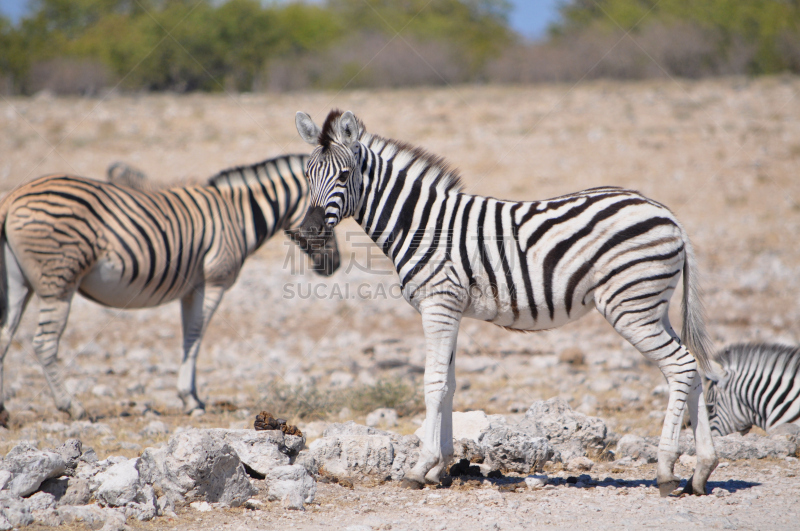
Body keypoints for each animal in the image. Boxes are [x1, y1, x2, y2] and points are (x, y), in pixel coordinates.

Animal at [0, 155, 340, 428]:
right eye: (324, 220)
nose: (334, 265)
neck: (241, 214)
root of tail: (13, 197)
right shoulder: (213, 282)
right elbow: (196, 337)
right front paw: (191, 401)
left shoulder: (190, 289)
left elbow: (188, 337)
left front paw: (192, 396)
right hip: (58, 279)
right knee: (44, 342)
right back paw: (72, 407)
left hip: (19, 284)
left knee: (5, 335)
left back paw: (3, 411)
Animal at [296, 109, 720, 498]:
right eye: (307, 177)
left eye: (344, 176)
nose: (308, 232)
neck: (422, 225)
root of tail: (668, 216)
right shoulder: (453, 309)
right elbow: (449, 384)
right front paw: (440, 469)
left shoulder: (438, 305)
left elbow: (433, 383)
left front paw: (420, 468)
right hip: (652, 307)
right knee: (695, 366)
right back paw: (702, 471)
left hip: (630, 307)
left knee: (680, 366)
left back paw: (666, 472)